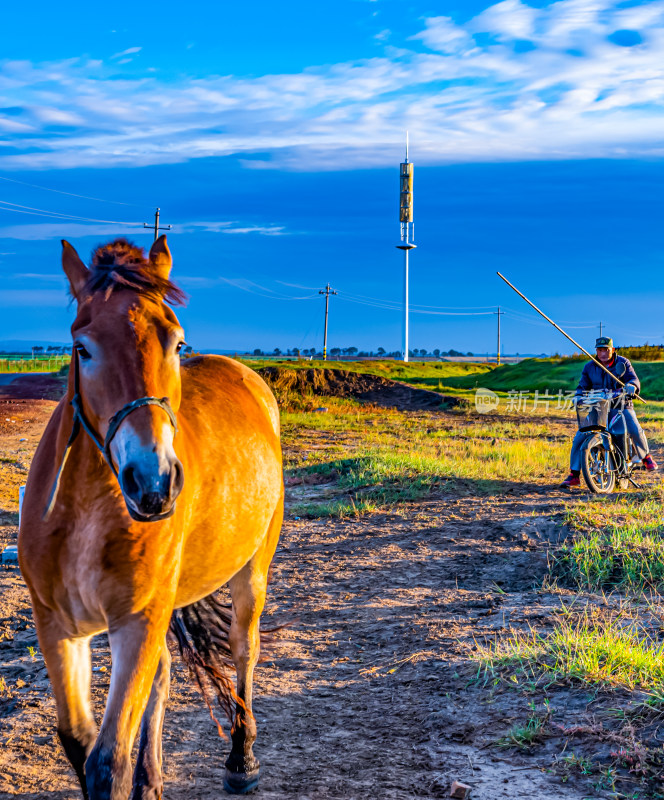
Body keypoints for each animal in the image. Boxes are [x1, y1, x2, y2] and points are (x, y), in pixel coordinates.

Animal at [18, 238, 282, 800]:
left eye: (176, 343)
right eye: (82, 348)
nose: (154, 481)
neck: (85, 516)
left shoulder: (137, 621)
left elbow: (107, 761)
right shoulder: (58, 627)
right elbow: (78, 743)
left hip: (251, 571)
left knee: (243, 649)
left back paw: (241, 759)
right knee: (162, 674)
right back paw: (152, 779)